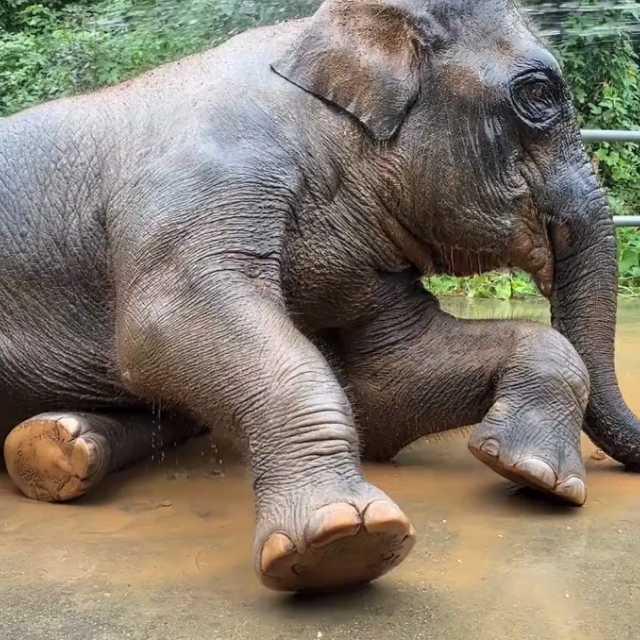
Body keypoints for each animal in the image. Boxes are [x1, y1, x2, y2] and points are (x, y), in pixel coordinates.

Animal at [1, 0, 639, 593]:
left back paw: (59, 445)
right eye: (539, 94)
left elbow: (387, 383)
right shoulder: (203, 180)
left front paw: (537, 477)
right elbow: (163, 322)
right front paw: (343, 541)